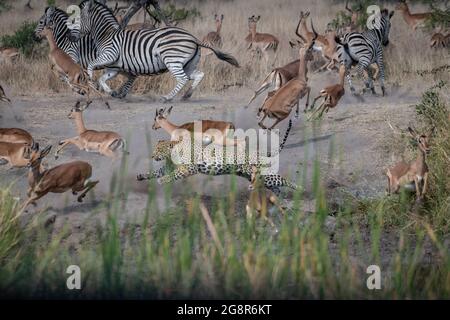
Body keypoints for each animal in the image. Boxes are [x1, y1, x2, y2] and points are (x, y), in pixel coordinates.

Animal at [69, 0, 239, 101]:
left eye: (76, 20)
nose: (71, 37)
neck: (106, 34)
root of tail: (193, 38)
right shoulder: (113, 67)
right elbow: (103, 79)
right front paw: (110, 92)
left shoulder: (109, 54)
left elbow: (91, 65)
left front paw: (92, 82)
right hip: (188, 64)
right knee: (198, 75)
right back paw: (187, 95)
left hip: (172, 60)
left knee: (182, 78)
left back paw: (167, 97)